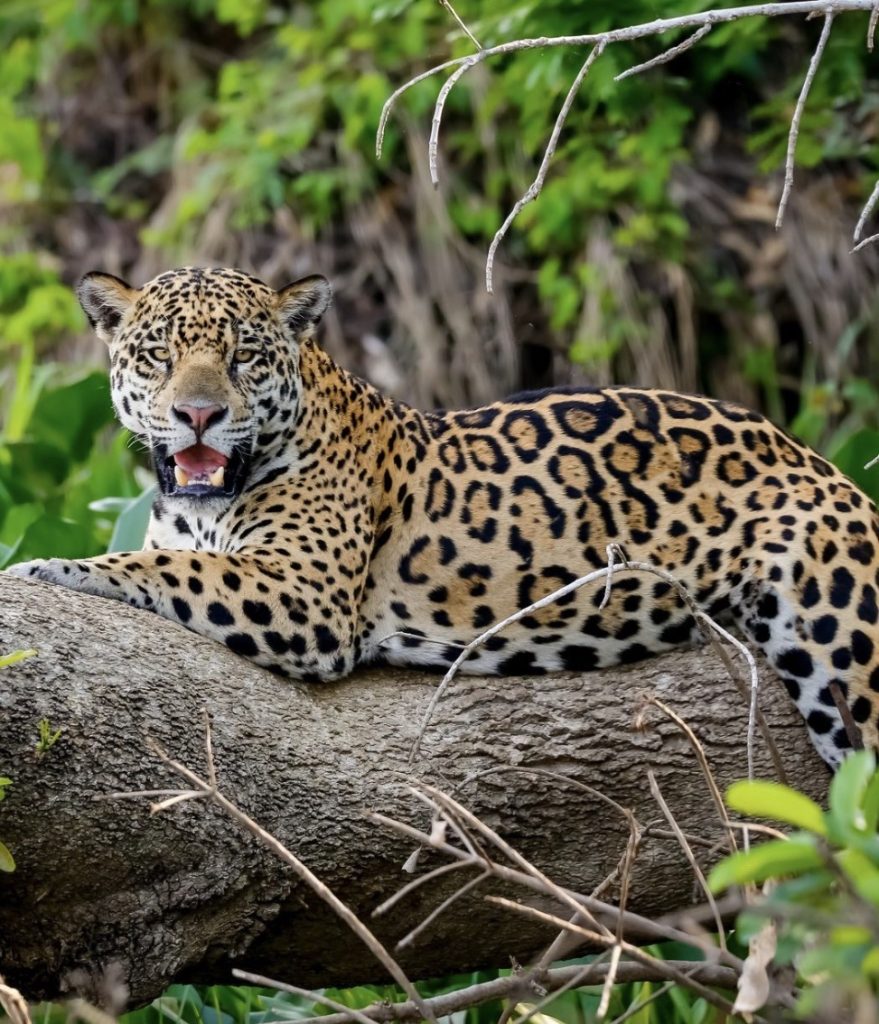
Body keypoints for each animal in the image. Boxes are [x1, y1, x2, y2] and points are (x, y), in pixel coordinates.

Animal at [7, 265, 879, 770]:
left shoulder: (307, 596)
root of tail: (821, 462)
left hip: (843, 650)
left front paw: (50, 566)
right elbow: (169, 555)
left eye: (243, 357)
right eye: (158, 355)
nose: (197, 415)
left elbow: (164, 566)